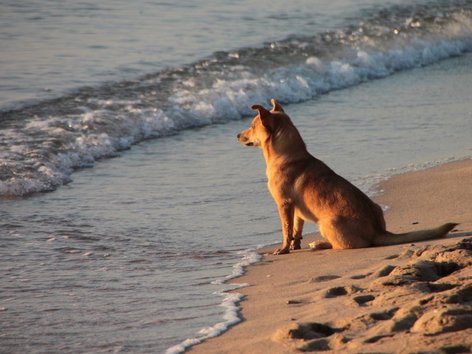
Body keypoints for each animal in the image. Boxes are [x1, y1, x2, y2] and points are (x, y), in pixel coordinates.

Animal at [236, 99, 458, 254]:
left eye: (252, 126)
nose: (237, 135)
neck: (286, 154)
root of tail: (378, 231)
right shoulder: (295, 209)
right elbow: (296, 230)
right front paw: (294, 246)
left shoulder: (284, 204)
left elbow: (286, 230)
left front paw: (283, 249)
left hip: (327, 222)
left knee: (344, 246)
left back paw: (319, 244)